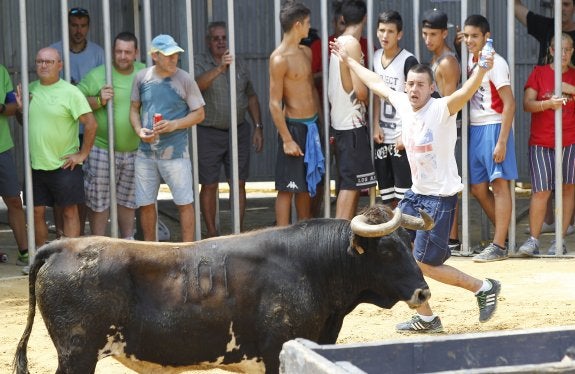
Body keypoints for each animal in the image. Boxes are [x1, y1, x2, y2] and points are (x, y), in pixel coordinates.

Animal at [13, 206, 432, 372]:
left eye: (409, 242)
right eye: (389, 250)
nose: (423, 293)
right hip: (77, 355)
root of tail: (60, 246)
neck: (313, 266)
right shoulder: (276, 353)